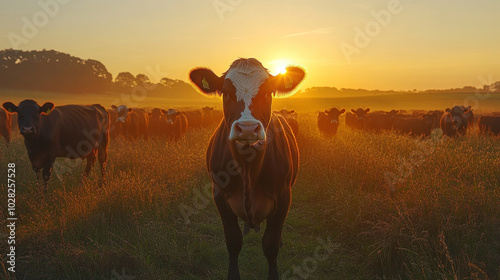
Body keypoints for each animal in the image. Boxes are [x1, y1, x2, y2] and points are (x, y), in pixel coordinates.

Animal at [188, 58, 302, 278]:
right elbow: (233, 241)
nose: (248, 128)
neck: (248, 167)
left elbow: (271, 245)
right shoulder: (219, 195)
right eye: (226, 92)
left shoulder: (284, 196)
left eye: (268, 92)